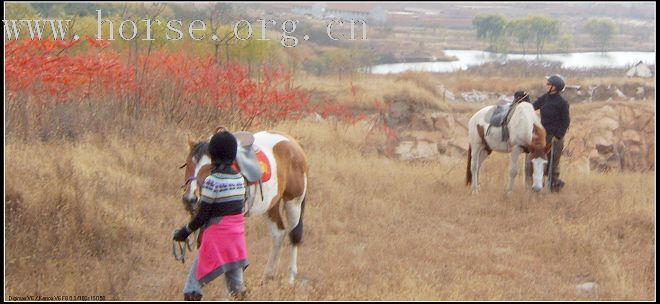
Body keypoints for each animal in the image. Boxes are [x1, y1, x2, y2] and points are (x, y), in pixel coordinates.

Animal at [180, 131, 310, 284]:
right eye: (188, 164)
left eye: (209, 167)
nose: (190, 199)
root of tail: (294, 144)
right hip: (271, 205)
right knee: (278, 234)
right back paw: (268, 275)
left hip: (294, 202)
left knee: (294, 235)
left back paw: (290, 278)